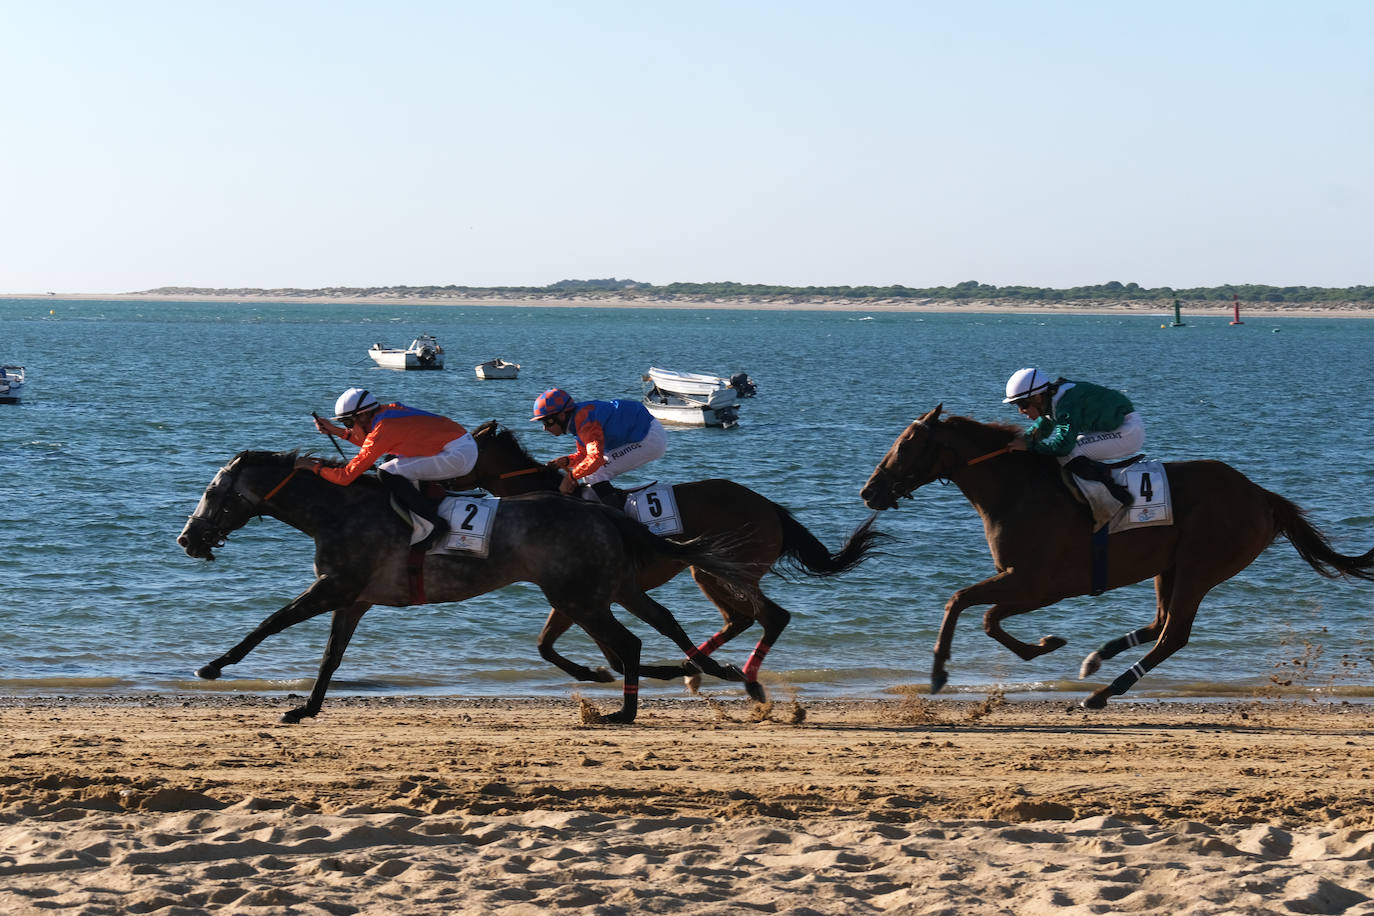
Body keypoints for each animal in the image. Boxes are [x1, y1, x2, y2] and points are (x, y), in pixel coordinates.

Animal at [178, 450, 762, 724]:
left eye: (213, 493)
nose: (187, 538)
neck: (337, 510)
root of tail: (600, 512)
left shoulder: (333, 587)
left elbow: (270, 623)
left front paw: (212, 666)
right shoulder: (354, 599)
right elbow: (329, 658)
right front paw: (306, 709)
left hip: (579, 597)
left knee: (629, 644)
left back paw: (627, 708)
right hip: (600, 591)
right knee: (649, 629)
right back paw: (694, 672)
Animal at [447, 421, 887, 702]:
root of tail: (770, 507)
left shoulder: (588, 593)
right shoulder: (584, 596)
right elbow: (559, 649)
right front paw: (607, 672)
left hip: (733, 569)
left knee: (771, 616)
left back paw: (742, 679)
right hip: (706, 570)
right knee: (742, 619)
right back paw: (701, 669)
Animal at [860, 405, 1374, 709]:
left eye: (906, 444)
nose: (869, 491)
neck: (1017, 489)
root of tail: (1262, 495)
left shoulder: (1039, 583)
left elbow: (969, 606)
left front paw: (941, 672)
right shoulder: (1027, 582)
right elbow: (982, 613)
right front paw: (1048, 645)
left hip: (1200, 566)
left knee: (1173, 635)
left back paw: (1103, 692)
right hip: (1169, 567)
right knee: (1160, 623)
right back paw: (1098, 658)